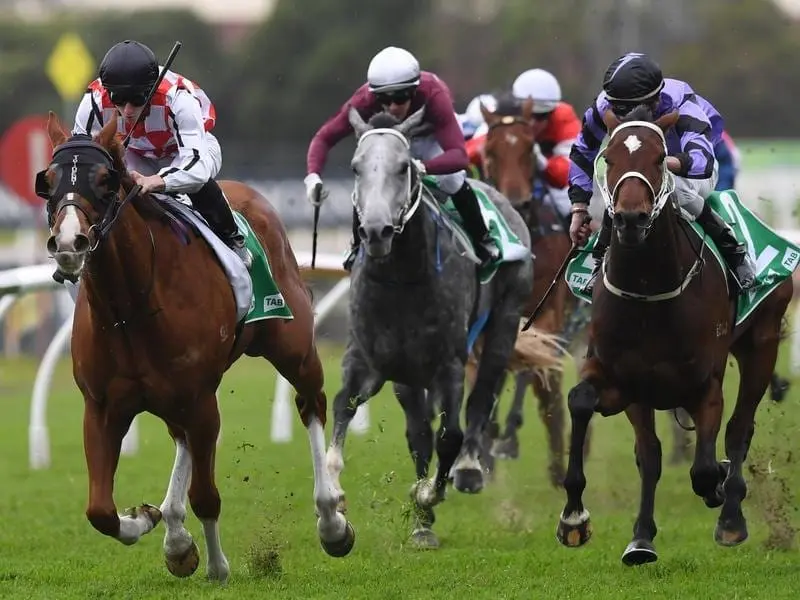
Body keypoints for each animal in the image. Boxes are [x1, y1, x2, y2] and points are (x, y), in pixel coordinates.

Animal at [39, 112, 354, 580]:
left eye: (105, 180)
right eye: (48, 180)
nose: (68, 243)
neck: (129, 307)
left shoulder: (201, 400)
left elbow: (206, 495)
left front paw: (218, 566)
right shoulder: (102, 406)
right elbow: (100, 510)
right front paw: (151, 523)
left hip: (292, 348)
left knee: (310, 403)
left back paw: (331, 520)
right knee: (181, 438)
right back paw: (173, 531)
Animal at [324, 108, 536, 548]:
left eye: (404, 166)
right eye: (355, 167)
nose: (375, 231)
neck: (401, 279)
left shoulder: (448, 363)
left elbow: (450, 435)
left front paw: (429, 493)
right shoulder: (367, 362)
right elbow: (345, 410)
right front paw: (333, 507)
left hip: (505, 320)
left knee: (481, 396)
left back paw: (468, 469)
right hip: (408, 374)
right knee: (419, 431)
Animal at [556, 105, 792, 564]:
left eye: (659, 158)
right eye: (608, 158)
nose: (630, 218)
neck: (649, 290)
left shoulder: (705, 384)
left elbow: (704, 466)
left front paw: (720, 490)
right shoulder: (625, 382)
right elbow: (591, 410)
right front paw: (579, 519)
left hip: (762, 343)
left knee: (739, 430)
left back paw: (730, 514)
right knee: (655, 453)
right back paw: (644, 536)